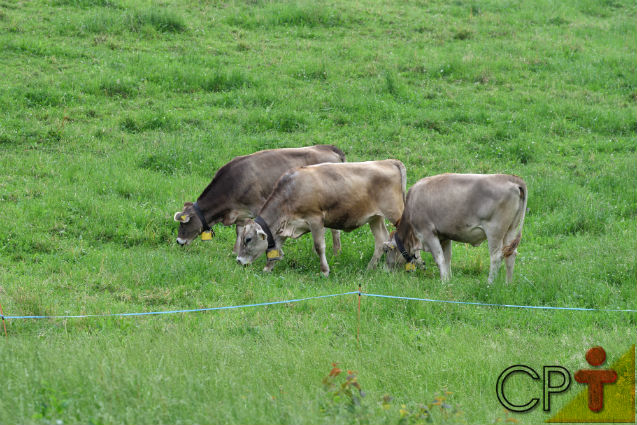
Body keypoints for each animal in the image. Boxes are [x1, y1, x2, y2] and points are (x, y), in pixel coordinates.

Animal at [236, 159, 404, 274]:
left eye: (247, 239)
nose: (238, 261)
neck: (291, 191)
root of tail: (389, 161)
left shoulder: (315, 219)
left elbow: (319, 246)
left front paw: (324, 270)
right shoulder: (286, 225)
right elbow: (276, 246)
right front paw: (268, 268)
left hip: (396, 213)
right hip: (375, 217)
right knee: (381, 240)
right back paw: (370, 267)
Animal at [382, 172, 528, 284]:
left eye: (386, 251)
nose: (385, 271)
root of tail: (511, 178)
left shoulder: (428, 233)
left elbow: (439, 258)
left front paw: (443, 282)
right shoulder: (445, 236)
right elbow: (447, 258)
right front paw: (449, 280)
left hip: (495, 230)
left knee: (496, 256)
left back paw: (489, 284)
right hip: (511, 229)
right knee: (510, 254)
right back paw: (508, 284)